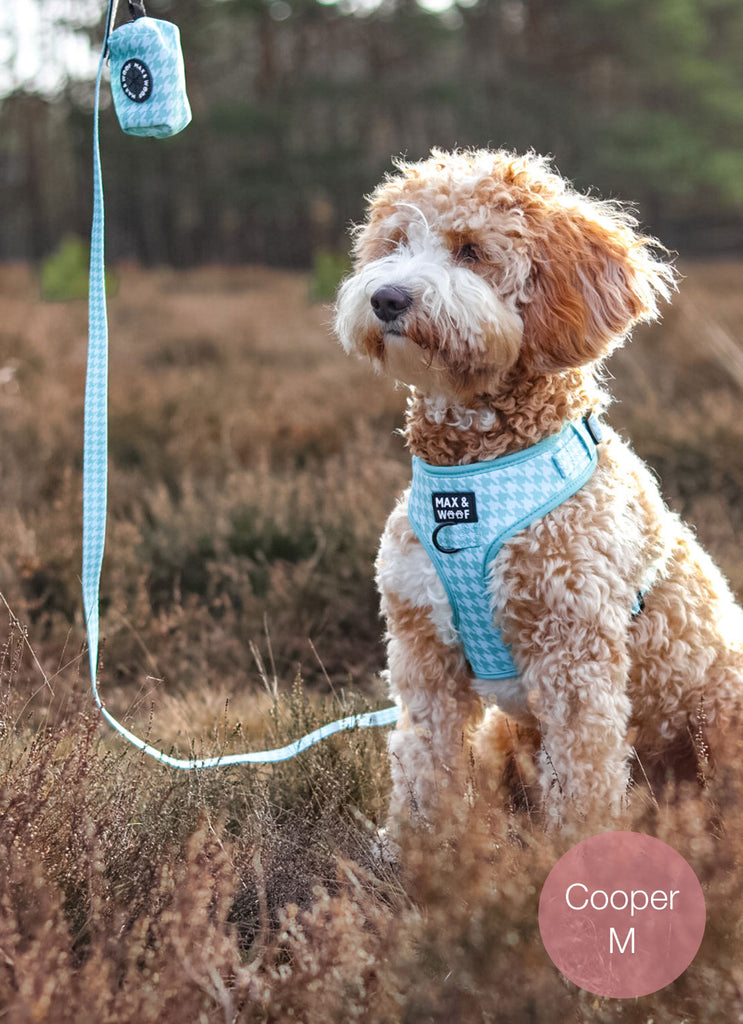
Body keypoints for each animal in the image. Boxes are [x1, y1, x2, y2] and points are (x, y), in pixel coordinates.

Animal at [335, 146, 740, 831]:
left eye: (471, 250)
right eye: (395, 243)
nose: (386, 298)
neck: (470, 481)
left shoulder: (573, 659)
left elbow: (583, 785)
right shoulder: (423, 655)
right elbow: (425, 771)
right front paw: (420, 851)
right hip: (507, 736)